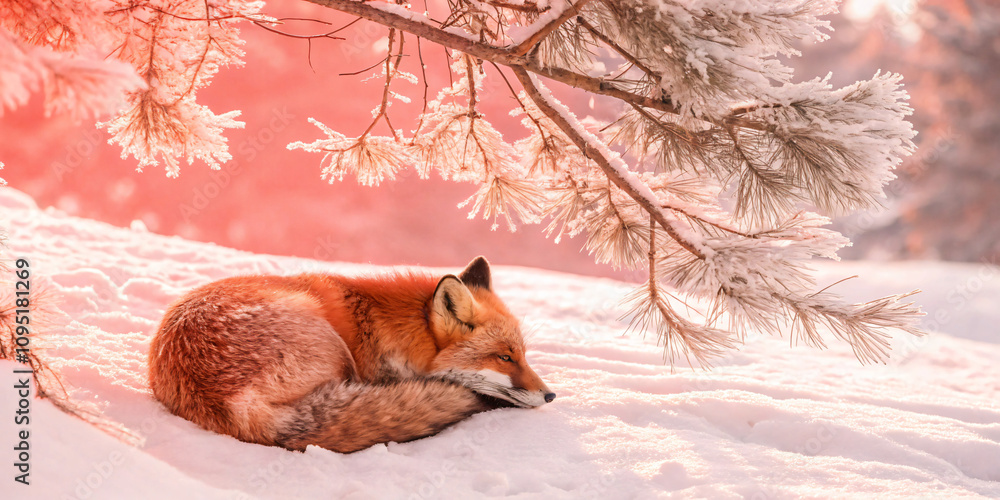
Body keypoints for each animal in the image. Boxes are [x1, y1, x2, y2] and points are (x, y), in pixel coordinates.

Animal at [147, 256, 554, 453]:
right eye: (505, 357)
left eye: (523, 354)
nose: (550, 395)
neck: (387, 328)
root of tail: (231, 405)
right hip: (333, 347)